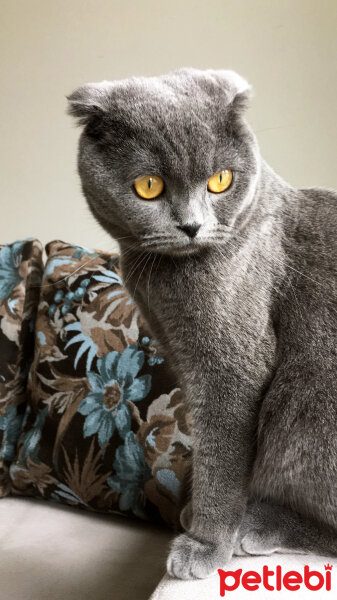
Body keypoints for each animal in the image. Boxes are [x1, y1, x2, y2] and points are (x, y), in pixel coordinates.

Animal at [67, 68, 336, 580]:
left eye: (220, 180)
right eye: (148, 186)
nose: (192, 225)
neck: (159, 282)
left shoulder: (230, 365)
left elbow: (222, 454)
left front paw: (207, 542)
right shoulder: (181, 353)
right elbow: (208, 445)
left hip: (309, 406)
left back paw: (263, 525)